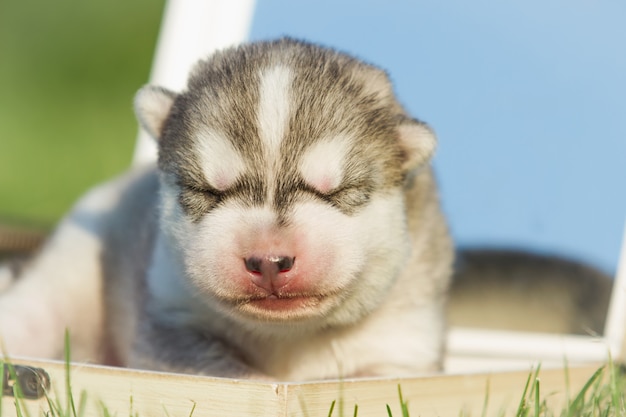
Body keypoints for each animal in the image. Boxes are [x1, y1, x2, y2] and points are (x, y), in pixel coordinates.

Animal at [0, 39, 450, 380]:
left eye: (338, 191)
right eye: (207, 191)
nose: (269, 261)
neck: (286, 336)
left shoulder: (401, 347)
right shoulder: (172, 321)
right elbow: (233, 375)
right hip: (63, 281)